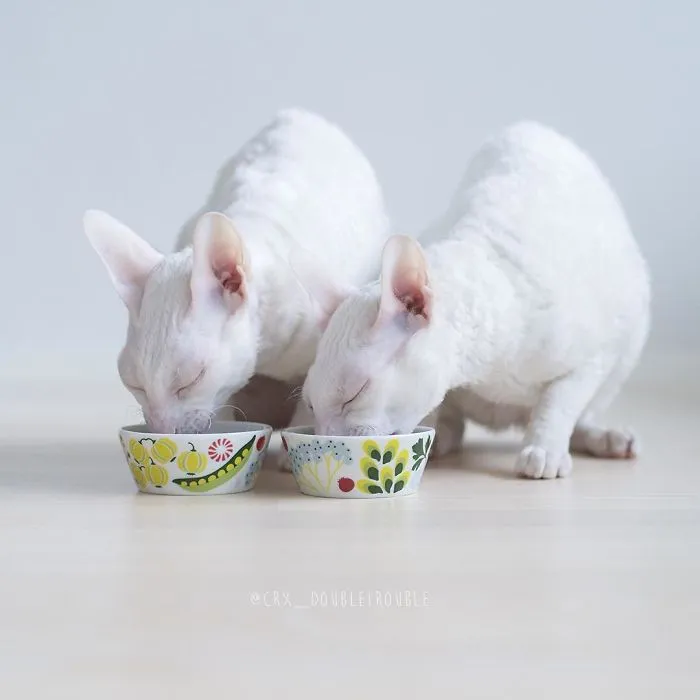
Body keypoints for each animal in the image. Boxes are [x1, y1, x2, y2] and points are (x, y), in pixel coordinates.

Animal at [299, 121, 650, 479]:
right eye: (311, 403)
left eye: (354, 395)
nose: (326, 438)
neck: (489, 366)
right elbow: (440, 405)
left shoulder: (597, 355)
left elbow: (560, 401)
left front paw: (544, 448)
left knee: (579, 413)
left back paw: (605, 438)